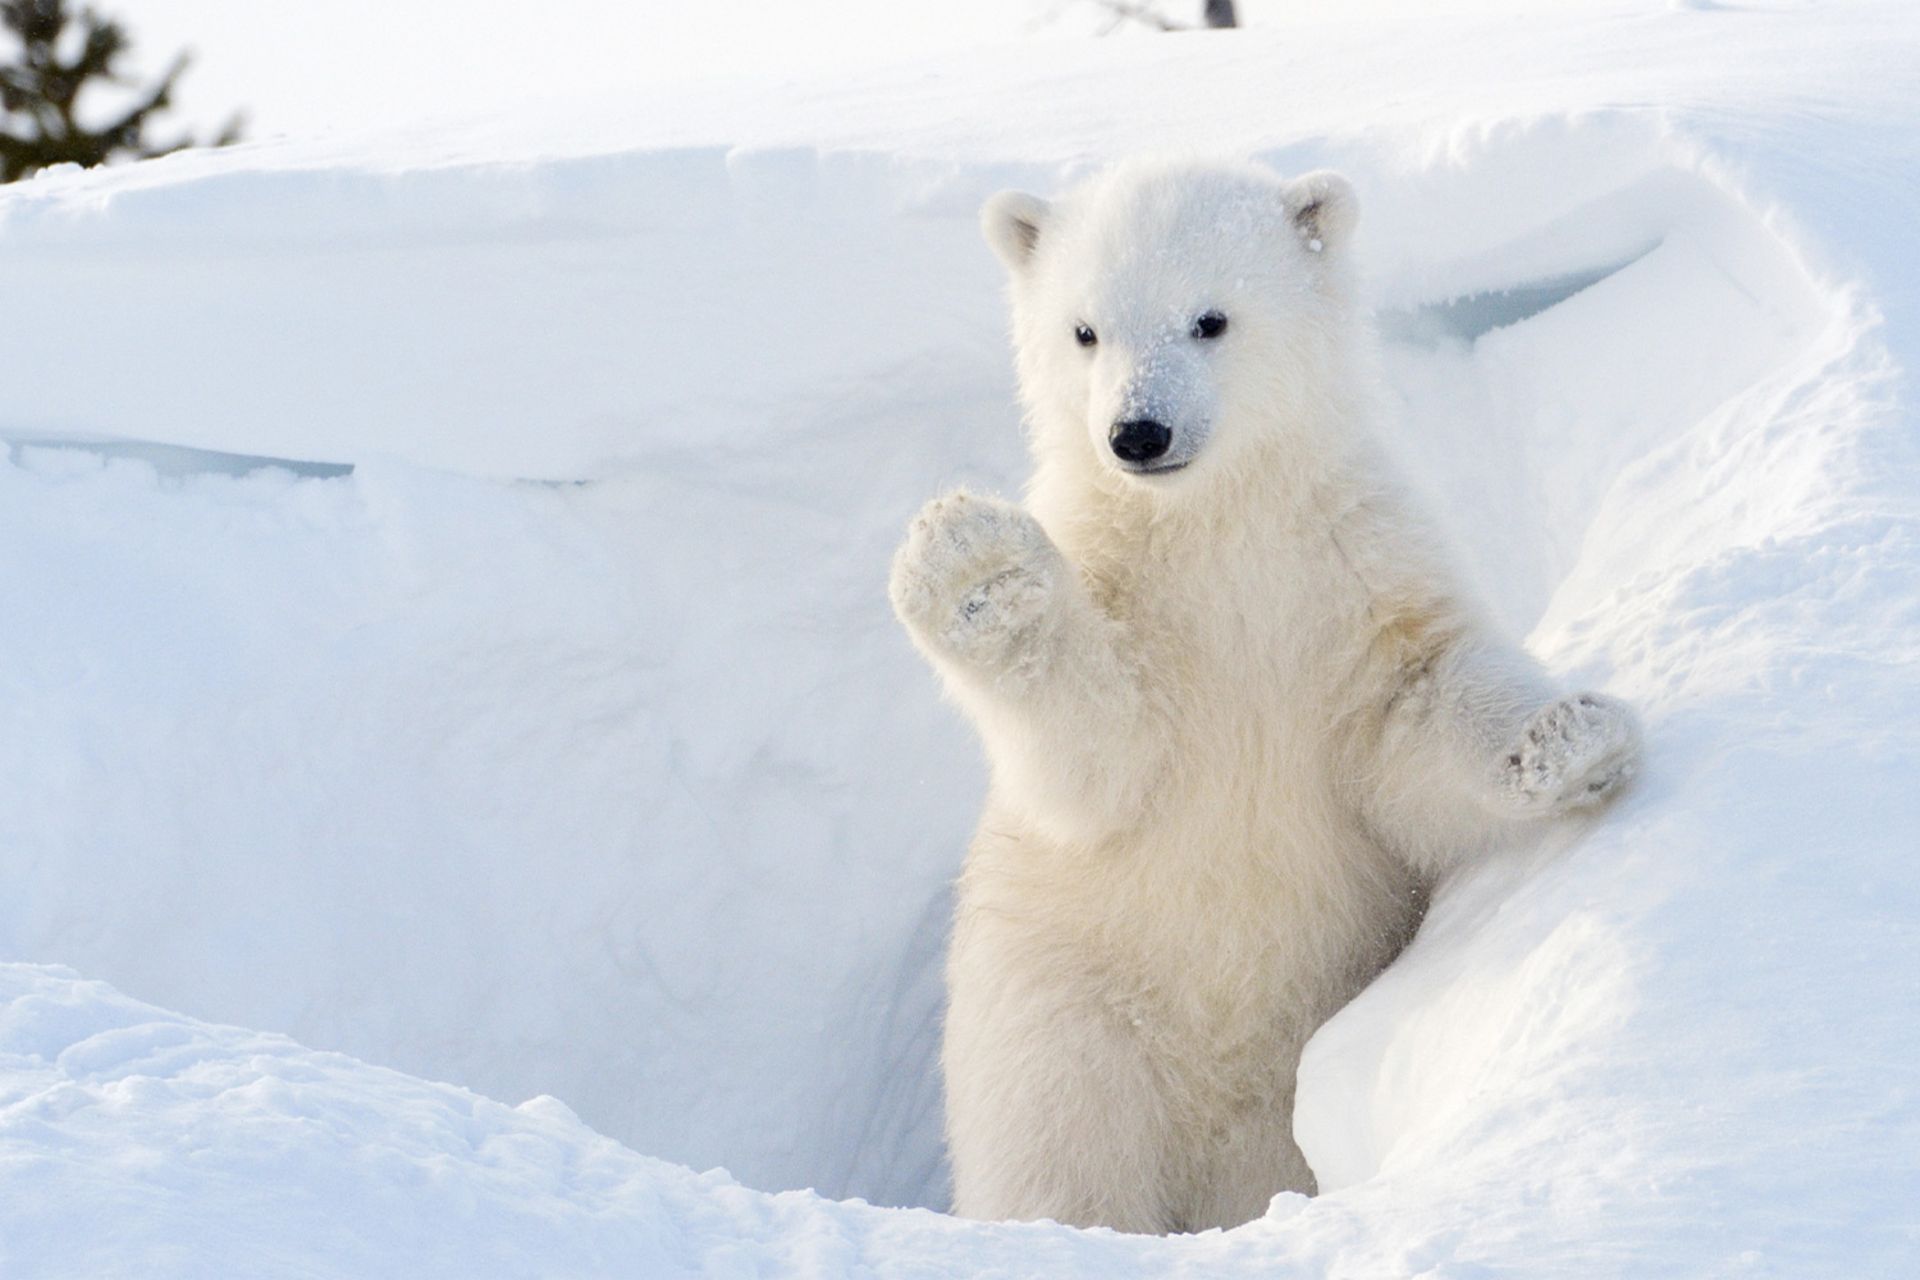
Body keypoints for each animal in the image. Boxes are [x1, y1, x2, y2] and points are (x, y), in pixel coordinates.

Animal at [890, 157, 1643, 1228]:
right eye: (1084, 331)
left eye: (1210, 318)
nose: (1137, 432)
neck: (1214, 527)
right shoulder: (1129, 602)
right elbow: (1099, 759)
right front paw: (974, 567)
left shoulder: (1351, 569)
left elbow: (1414, 709)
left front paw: (1570, 737)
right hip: (1062, 1018)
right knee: (1062, 1162)